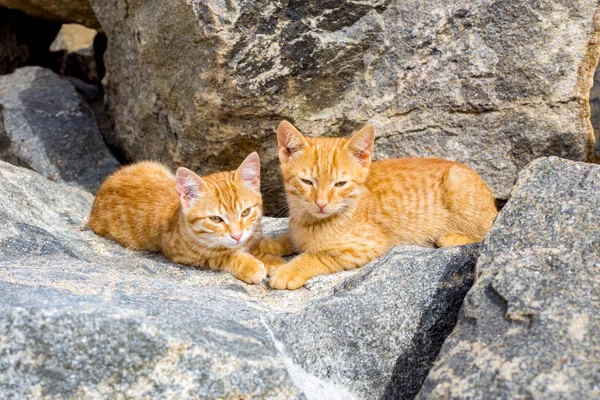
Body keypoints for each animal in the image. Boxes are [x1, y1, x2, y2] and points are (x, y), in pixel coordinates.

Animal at [88, 152, 286, 282]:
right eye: (216, 219)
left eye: (245, 212)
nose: (236, 236)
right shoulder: (181, 253)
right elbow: (223, 255)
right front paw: (250, 265)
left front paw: (270, 259)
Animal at [262, 120, 496, 290]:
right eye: (307, 182)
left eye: (340, 184)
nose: (321, 203)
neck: (310, 222)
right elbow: (291, 238)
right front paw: (269, 244)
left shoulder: (367, 246)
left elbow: (318, 255)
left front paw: (289, 271)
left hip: (458, 184)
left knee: (487, 231)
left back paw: (452, 237)